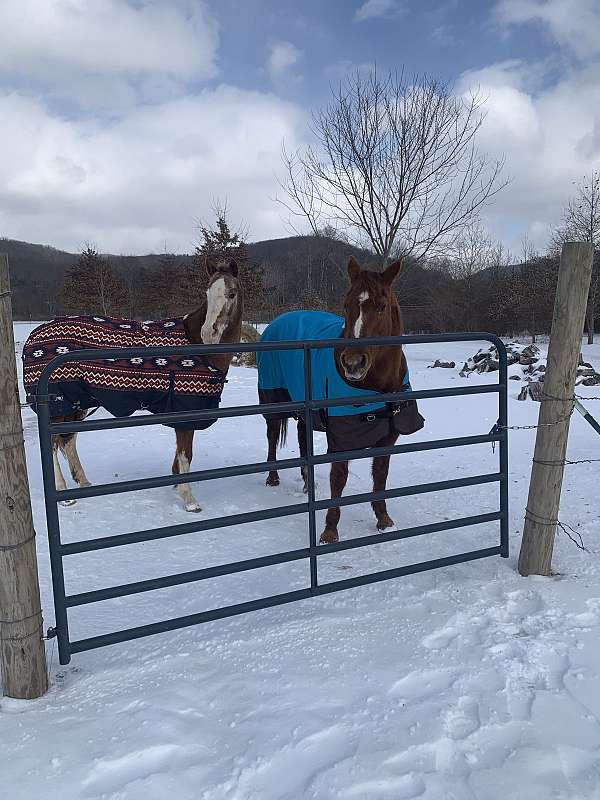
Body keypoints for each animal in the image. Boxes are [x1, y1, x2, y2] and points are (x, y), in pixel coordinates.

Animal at [24, 262, 243, 512]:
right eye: (207, 294)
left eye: (231, 293)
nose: (209, 333)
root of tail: (33, 337)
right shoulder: (184, 412)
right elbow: (186, 454)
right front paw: (189, 499)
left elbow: (180, 454)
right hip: (59, 407)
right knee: (52, 445)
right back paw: (64, 494)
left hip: (76, 405)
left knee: (68, 441)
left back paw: (84, 482)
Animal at [256, 256, 422, 544]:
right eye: (346, 304)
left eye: (381, 306)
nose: (353, 363)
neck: (376, 388)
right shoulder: (341, 441)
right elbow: (339, 478)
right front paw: (329, 530)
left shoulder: (387, 439)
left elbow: (380, 476)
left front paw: (383, 519)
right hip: (274, 401)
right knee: (272, 435)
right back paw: (273, 477)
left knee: (302, 439)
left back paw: (307, 483)